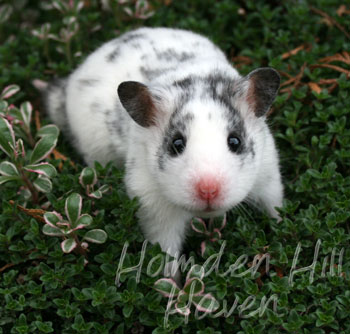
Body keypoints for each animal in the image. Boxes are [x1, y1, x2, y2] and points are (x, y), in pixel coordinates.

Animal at [43, 27, 284, 260]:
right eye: (176, 144)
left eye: (235, 141)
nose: (208, 191)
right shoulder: (155, 209)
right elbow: (166, 252)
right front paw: (173, 276)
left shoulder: (268, 176)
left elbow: (275, 207)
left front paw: (281, 226)